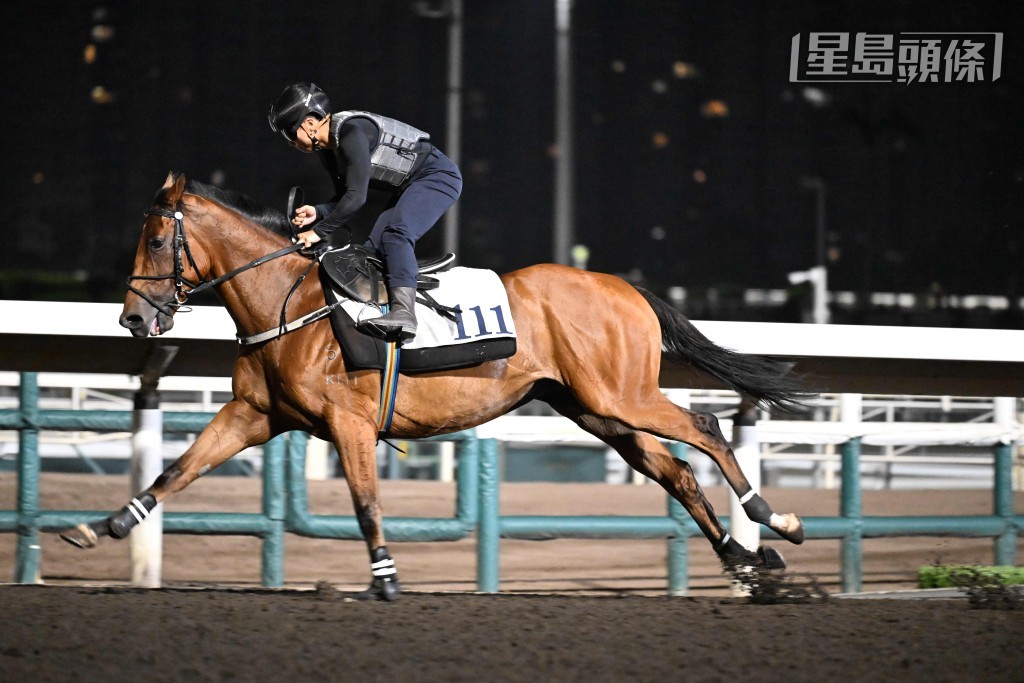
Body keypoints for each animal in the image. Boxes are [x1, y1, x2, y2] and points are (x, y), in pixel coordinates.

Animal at [61, 172, 809, 600]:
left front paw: (386, 578)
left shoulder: (349, 423)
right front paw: (102, 526)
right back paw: (747, 560)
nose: (134, 318)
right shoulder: (252, 413)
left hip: (620, 396)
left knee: (705, 430)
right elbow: (176, 470)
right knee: (676, 471)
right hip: (596, 409)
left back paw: (777, 520)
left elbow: (365, 502)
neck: (287, 300)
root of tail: (626, 289)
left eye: (157, 241)